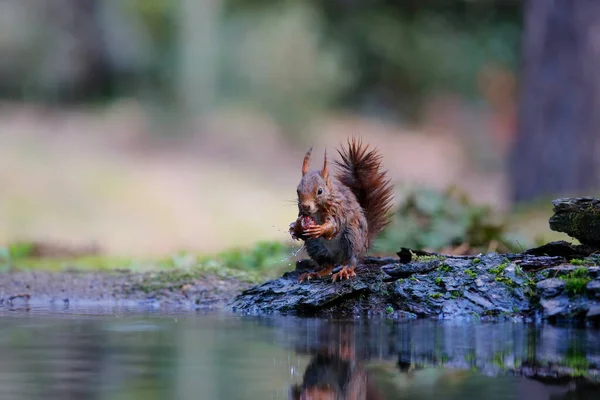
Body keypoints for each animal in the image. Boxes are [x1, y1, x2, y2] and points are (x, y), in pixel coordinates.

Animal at [290, 139, 394, 282]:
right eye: (297, 190)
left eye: (320, 191)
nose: (306, 206)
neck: (317, 211)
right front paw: (294, 228)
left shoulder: (337, 210)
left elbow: (333, 225)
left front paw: (320, 229)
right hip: (315, 246)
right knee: (328, 265)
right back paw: (314, 273)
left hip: (352, 236)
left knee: (352, 260)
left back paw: (345, 271)